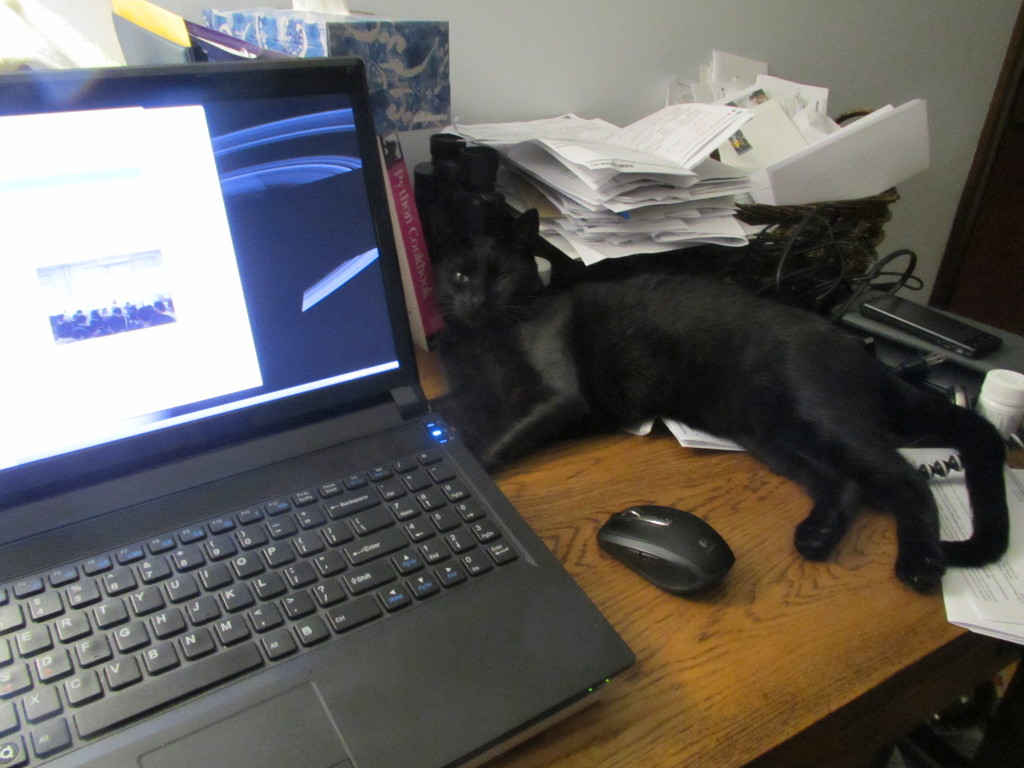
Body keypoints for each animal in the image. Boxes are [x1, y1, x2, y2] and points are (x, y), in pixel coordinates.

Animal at [430, 208, 1010, 593]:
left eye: (501, 274)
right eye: (458, 275)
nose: (475, 300)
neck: (484, 337)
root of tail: (857, 347)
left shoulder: (557, 398)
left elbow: (492, 441)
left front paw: (470, 463)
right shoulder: (468, 393)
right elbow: (449, 415)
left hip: (819, 418)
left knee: (907, 480)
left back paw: (922, 563)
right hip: (776, 436)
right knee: (846, 485)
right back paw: (816, 537)